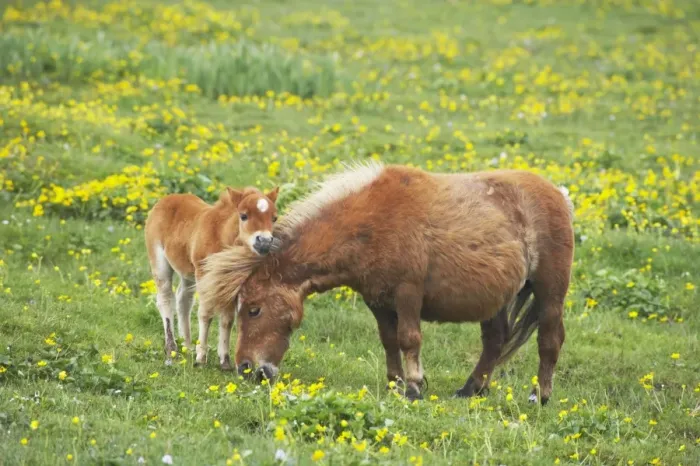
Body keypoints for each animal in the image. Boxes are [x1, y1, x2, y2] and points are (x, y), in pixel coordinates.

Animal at [144, 186, 279, 368]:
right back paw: (172, 349)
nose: (264, 242)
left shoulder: (231, 283)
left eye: (274, 218)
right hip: (160, 263)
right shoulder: (204, 276)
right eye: (243, 216)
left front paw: (225, 362)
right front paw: (201, 358)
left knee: (183, 299)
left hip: (188, 271)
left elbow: (227, 319)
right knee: (166, 299)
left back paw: (187, 346)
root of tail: (166, 199)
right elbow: (206, 314)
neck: (221, 235)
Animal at [199, 162, 574, 403]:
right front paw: (395, 383)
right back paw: (471, 390)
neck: (371, 223)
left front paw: (413, 388)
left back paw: (540, 396)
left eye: (254, 310)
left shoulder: (408, 294)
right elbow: (389, 340)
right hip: (495, 300)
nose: (247, 369)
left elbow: (409, 339)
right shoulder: (377, 300)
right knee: (494, 342)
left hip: (550, 293)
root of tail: (559, 195)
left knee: (550, 341)